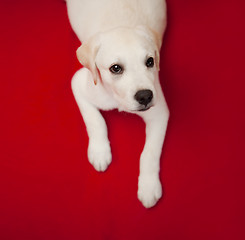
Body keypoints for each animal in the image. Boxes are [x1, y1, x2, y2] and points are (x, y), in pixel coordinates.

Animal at [66, 0, 169, 208]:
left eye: (150, 61)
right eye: (115, 68)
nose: (145, 96)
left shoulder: (160, 112)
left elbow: (149, 152)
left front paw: (148, 186)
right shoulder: (79, 84)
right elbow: (95, 120)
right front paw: (100, 151)